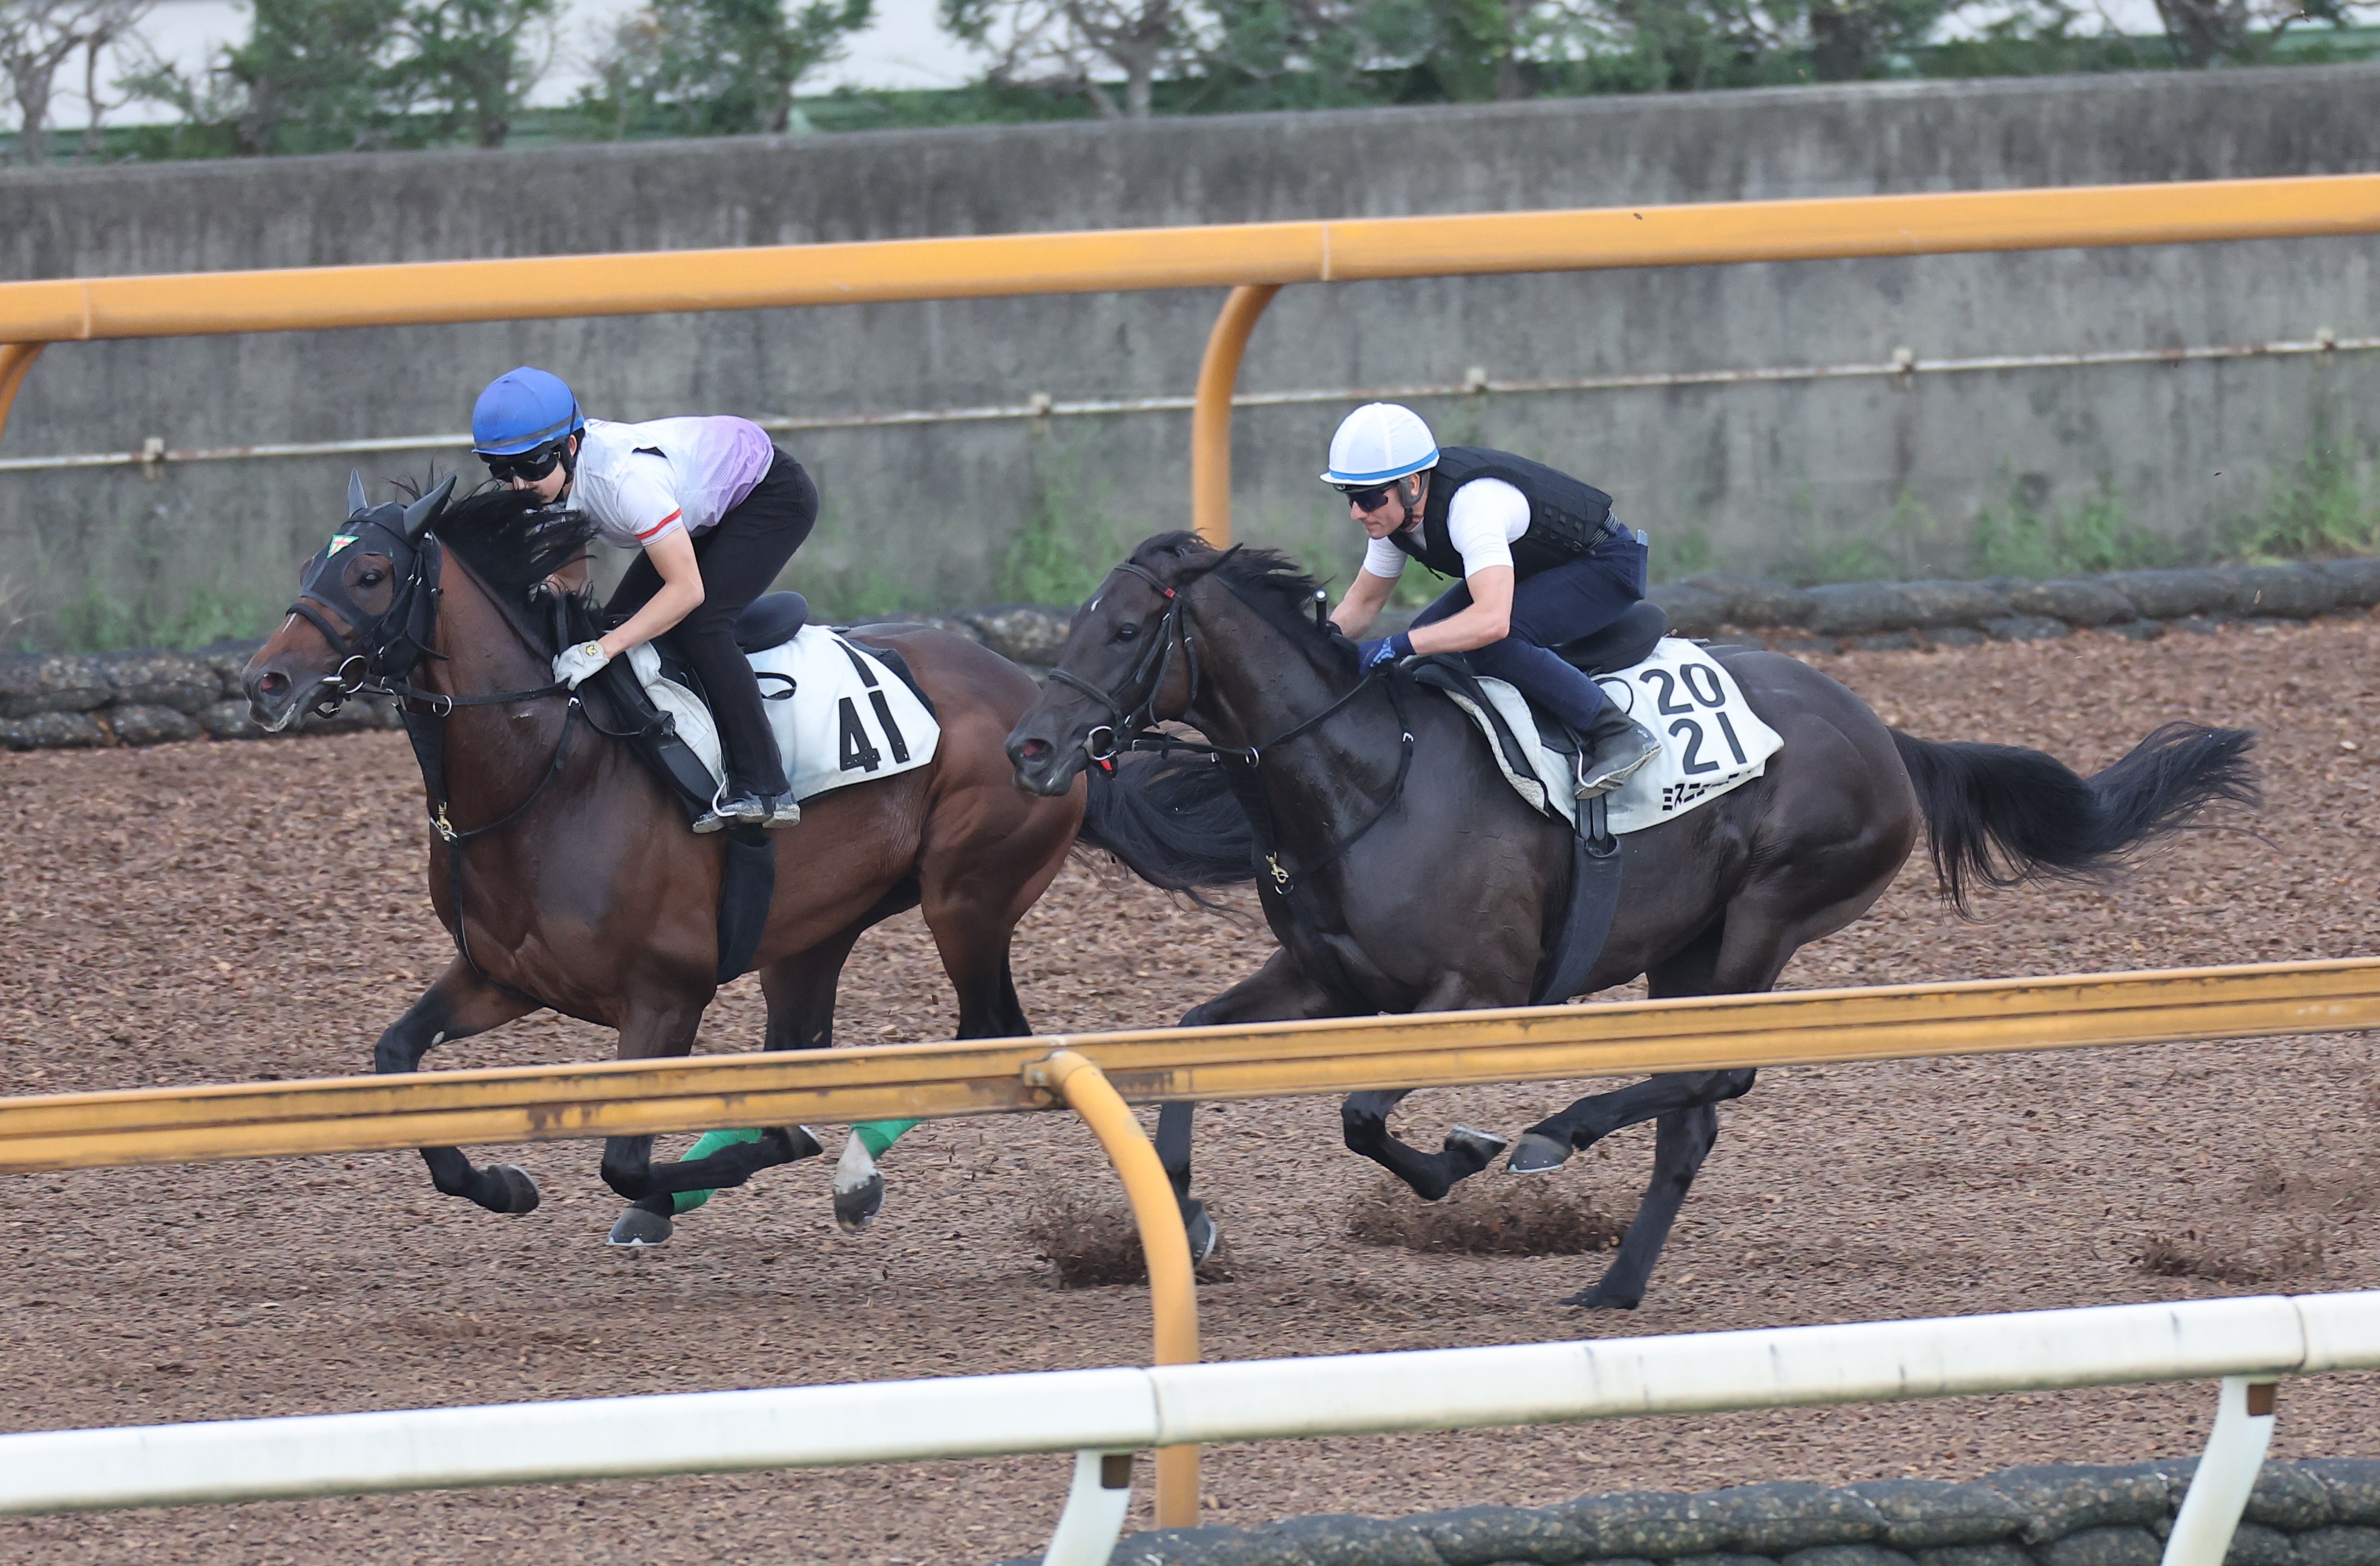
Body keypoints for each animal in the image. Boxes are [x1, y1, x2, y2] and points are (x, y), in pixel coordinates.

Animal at [248, 480, 1238, 1237]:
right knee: (808, 1042)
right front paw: (500, 1183)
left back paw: (848, 1173)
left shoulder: (663, 998)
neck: (546, 771)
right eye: (307, 569)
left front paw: (742, 1162)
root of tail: (1048, 715)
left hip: (967, 895)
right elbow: (394, 1056)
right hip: (815, 931)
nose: (266, 681)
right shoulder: (503, 976)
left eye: (370, 573)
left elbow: (624, 1159)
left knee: (988, 1029)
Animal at [999, 533, 2246, 1304]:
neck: (1366, 773)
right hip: (1688, 945)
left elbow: (1359, 1115)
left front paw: (1460, 1155)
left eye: (1125, 631)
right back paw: (1612, 1281)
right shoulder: (1327, 976)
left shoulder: (1476, 990)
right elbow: (1191, 1041)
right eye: (1077, 624)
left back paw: (1557, 1133)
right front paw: (1187, 1215)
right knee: (1691, 1116)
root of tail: (1885, 733)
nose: (1029, 745)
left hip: (1764, 916)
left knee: (1711, 1074)